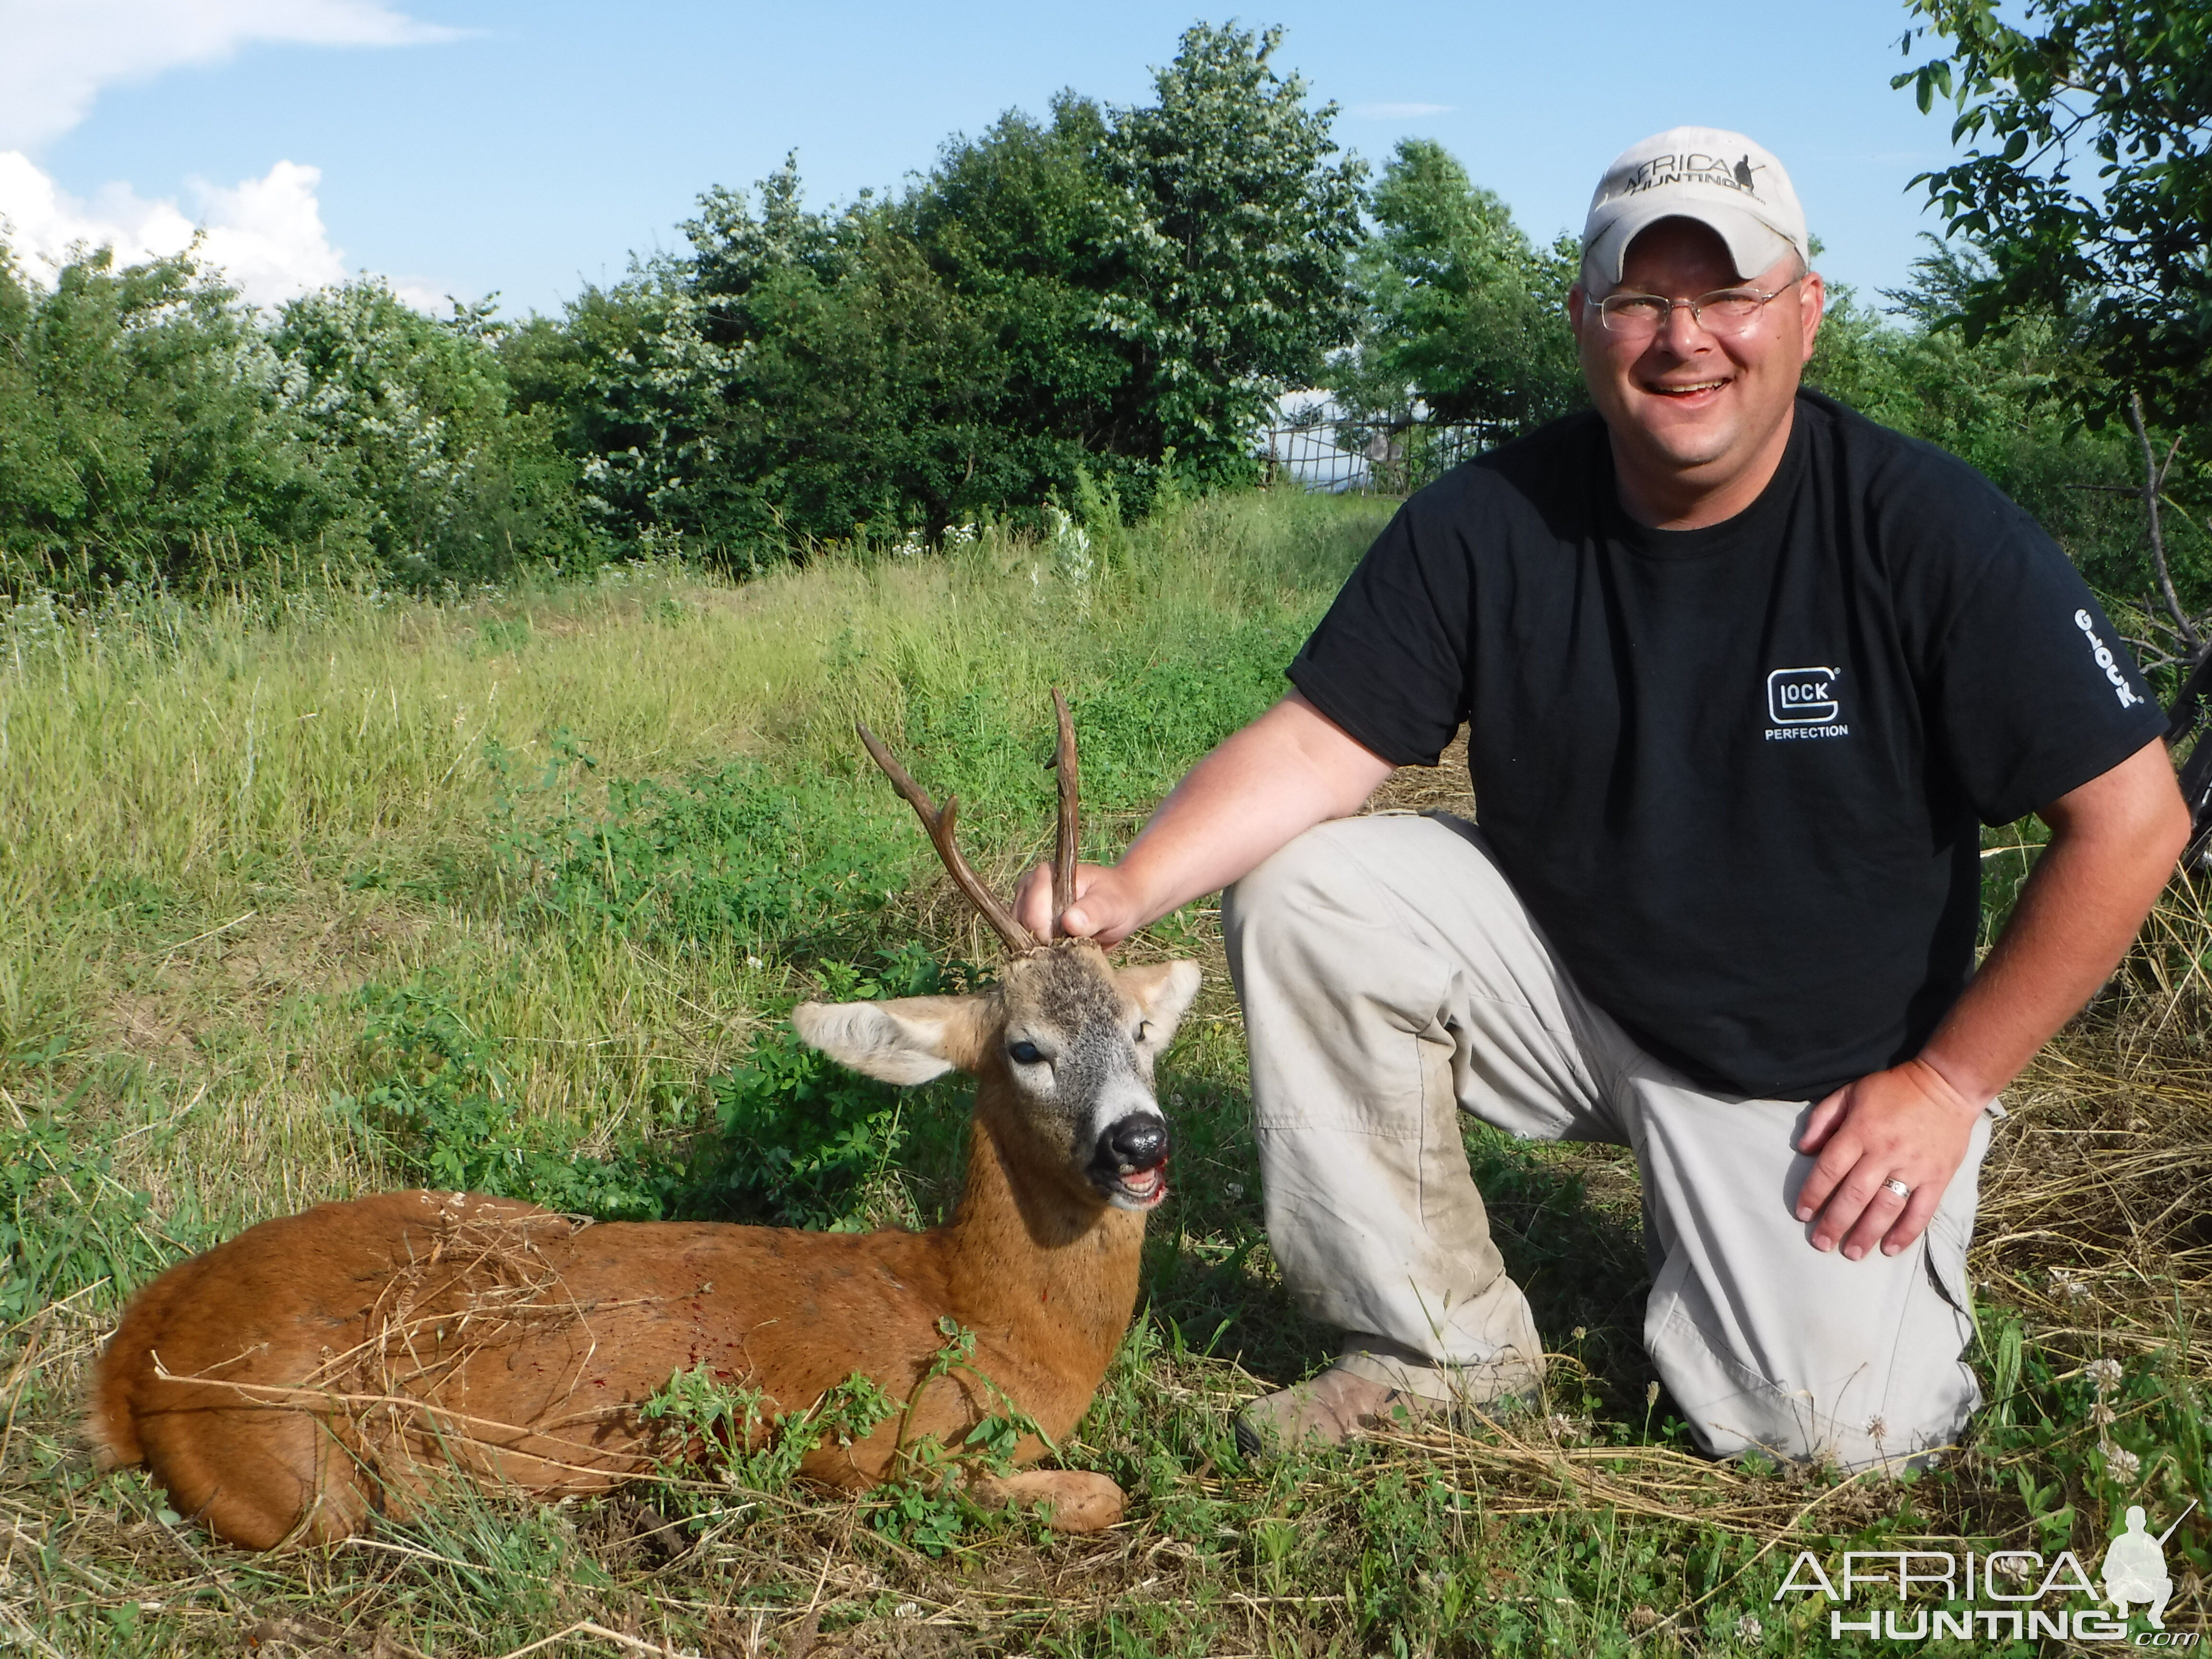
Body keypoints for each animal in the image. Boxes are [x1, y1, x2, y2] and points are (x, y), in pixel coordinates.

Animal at [86, 694, 1203, 1557]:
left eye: (1142, 1028)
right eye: (1025, 1048)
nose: (1139, 1143)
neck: (980, 1314)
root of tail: (140, 1339)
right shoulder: (875, 1448)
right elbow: (1098, 1493)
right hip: (295, 1475)